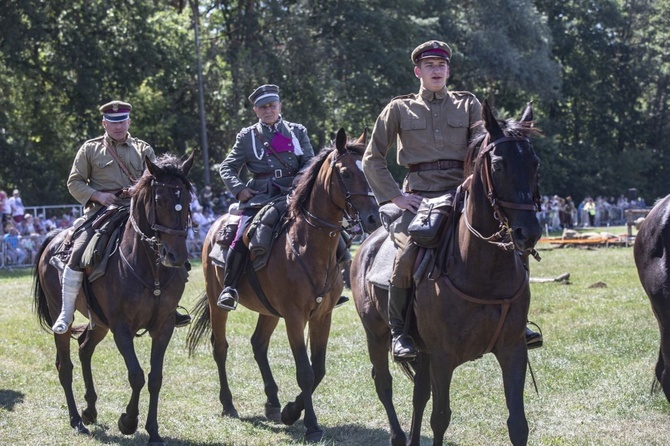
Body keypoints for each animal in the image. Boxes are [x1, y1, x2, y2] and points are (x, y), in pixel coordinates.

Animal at [33, 152, 194, 444]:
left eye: (187, 200)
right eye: (160, 201)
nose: (175, 256)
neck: (148, 266)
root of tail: (53, 240)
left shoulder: (163, 326)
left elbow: (155, 378)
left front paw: (153, 431)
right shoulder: (121, 328)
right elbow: (136, 375)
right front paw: (128, 422)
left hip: (100, 322)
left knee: (85, 348)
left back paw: (90, 411)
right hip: (63, 315)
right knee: (65, 366)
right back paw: (77, 420)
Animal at [186, 129, 380, 442]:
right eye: (346, 173)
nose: (373, 217)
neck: (307, 245)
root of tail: (217, 224)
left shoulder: (322, 316)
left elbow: (319, 369)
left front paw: (291, 411)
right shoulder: (294, 317)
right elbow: (305, 372)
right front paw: (311, 424)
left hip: (268, 311)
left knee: (258, 344)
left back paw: (273, 402)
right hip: (219, 302)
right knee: (220, 346)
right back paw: (228, 404)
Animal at [352, 101, 544, 446]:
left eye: (534, 163)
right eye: (498, 165)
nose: (528, 232)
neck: (483, 271)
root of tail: (366, 244)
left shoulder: (513, 349)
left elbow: (518, 424)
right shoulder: (443, 357)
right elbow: (440, 417)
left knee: (418, 394)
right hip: (376, 333)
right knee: (383, 382)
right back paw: (398, 435)